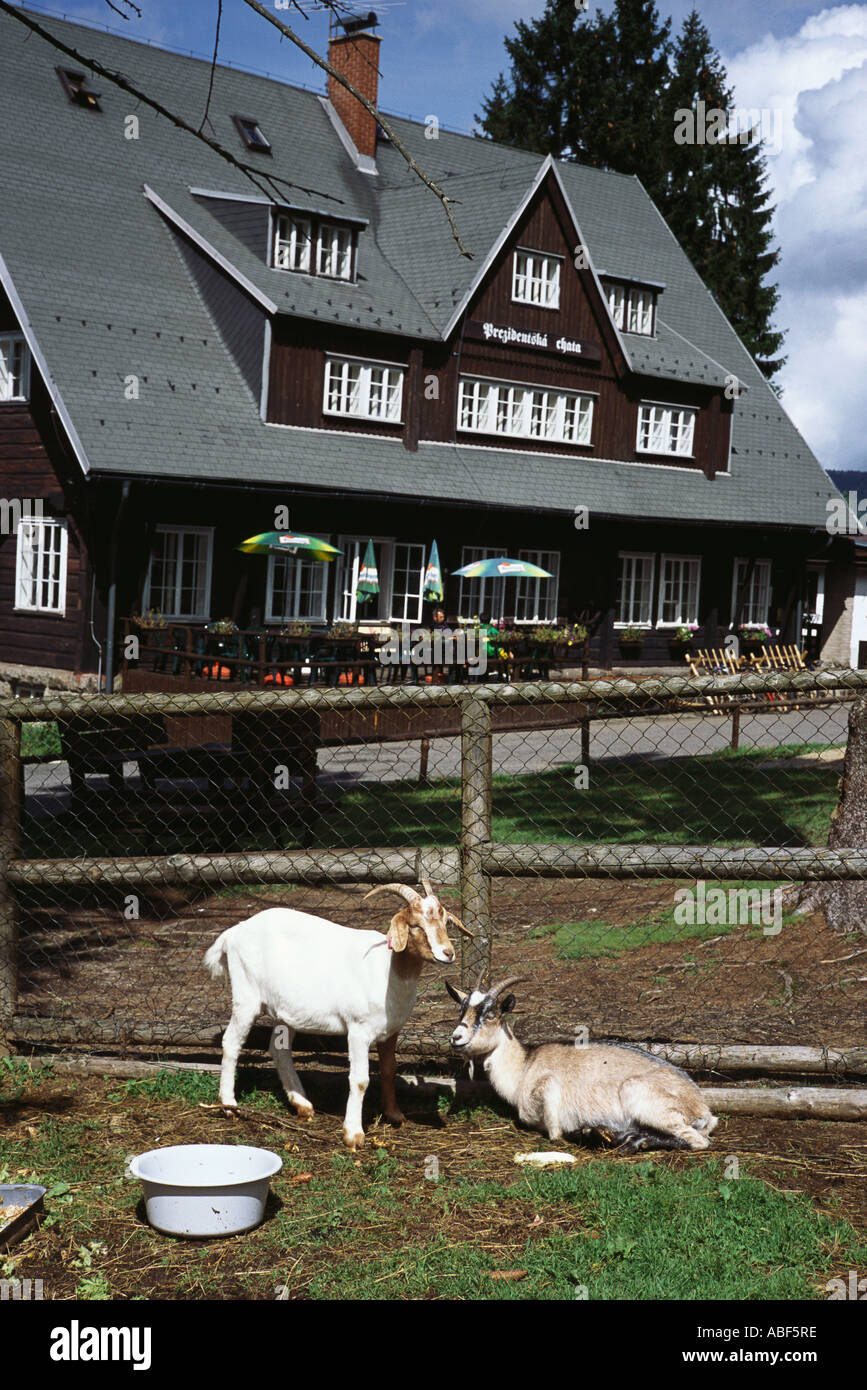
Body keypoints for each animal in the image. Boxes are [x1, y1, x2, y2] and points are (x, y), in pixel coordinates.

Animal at [204, 884, 469, 1145]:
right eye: (415, 925)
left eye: (445, 922)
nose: (447, 953)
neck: (387, 970)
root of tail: (232, 933)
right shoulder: (358, 1030)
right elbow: (360, 1080)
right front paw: (353, 1134)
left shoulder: (390, 1030)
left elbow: (389, 1069)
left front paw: (394, 1115)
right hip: (246, 997)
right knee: (231, 1042)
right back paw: (229, 1105)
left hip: (285, 1010)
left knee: (279, 1050)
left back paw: (302, 1105)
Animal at [447, 978, 716, 1150]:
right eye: (461, 1011)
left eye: (491, 1014)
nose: (456, 1038)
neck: (524, 1068)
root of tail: (702, 1108)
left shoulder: (548, 1090)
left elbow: (555, 1134)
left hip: (641, 1096)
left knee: (698, 1142)